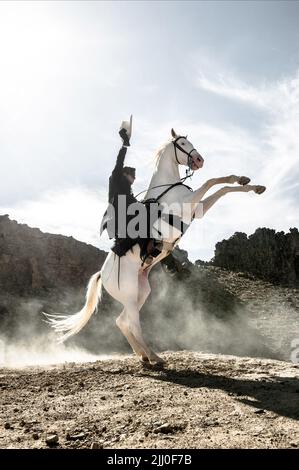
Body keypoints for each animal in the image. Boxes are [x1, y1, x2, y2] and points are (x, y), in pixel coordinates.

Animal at [45, 129, 268, 364]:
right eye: (182, 143)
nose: (199, 160)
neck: (169, 187)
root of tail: (102, 275)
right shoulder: (190, 202)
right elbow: (212, 181)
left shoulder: (198, 208)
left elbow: (223, 187)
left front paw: (251, 184)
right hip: (130, 294)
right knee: (132, 323)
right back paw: (154, 356)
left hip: (141, 291)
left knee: (121, 321)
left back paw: (143, 355)